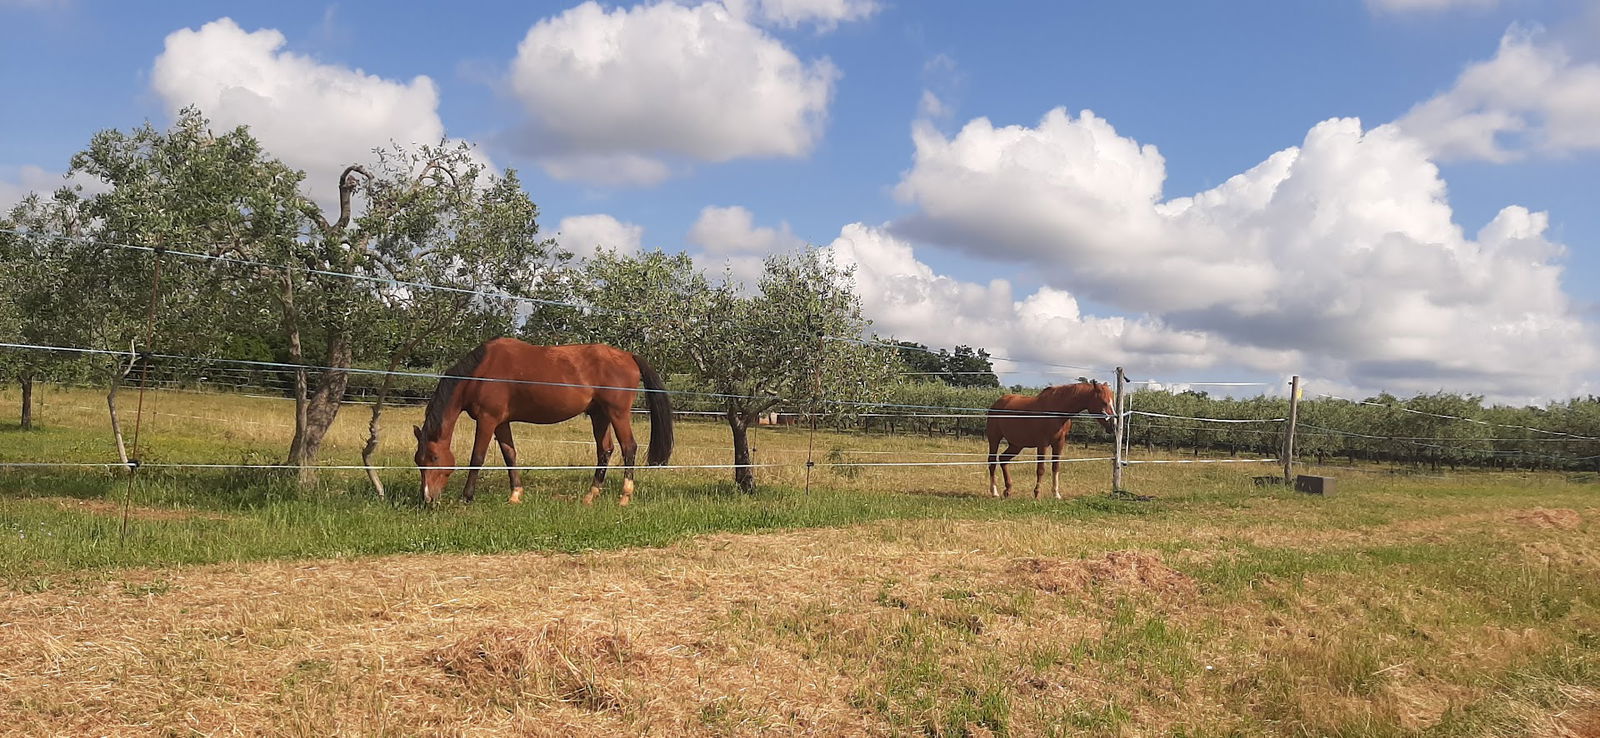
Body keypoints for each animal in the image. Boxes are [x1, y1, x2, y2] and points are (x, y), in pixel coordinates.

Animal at [412, 337, 674, 506]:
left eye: (434, 458)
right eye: (418, 461)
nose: (427, 498)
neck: (480, 372)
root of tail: (628, 355)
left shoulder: (487, 420)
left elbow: (477, 457)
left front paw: (467, 497)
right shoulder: (501, 423)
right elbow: (510, 455)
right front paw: (516, 494)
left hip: (617, 413)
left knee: (628, 447)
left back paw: (625, 496)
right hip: (600, 415)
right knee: (605, 450)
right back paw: (591, 495)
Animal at [986, 380, 1116, 499]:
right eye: (1104, 402)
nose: (1114, 424)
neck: (1056, 412)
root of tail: (996, 404)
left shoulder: (1059, 443)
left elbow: (1055, 467)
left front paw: (1056, 493)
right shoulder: (1042, 444)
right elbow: (1041, 469)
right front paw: (1037, 494)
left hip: (1016, 445)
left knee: (1003, 459)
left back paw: (1008, 490)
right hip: (994, 439)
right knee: (992, 462)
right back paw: (994, 492)